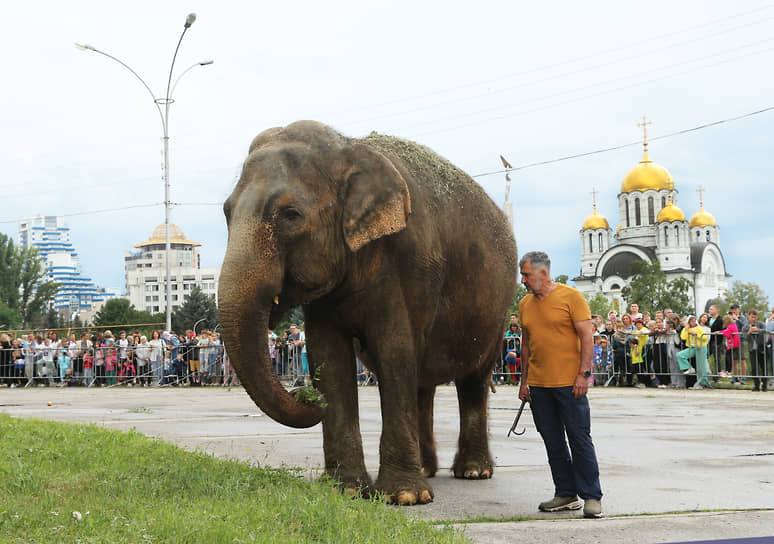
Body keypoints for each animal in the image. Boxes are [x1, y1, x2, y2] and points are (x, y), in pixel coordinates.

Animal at [218, 121, 520, 504]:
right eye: (226, 212)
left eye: (290, 215)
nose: (304, 393)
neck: (348, 149)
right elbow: (330, 359)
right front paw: (345, 490)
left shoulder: (409, 262)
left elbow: (394, 350)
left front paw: (403, 497)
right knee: (422, 381)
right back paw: (427, 469)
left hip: (498, 311)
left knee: (472, 380)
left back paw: (473, 472)